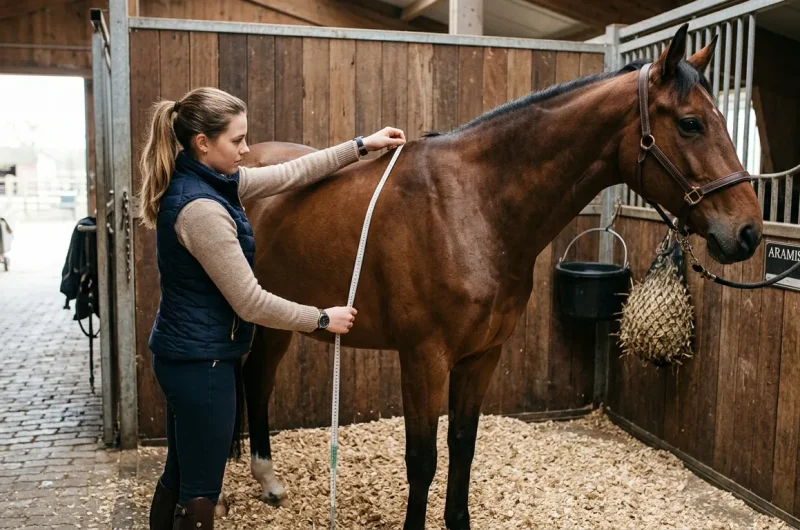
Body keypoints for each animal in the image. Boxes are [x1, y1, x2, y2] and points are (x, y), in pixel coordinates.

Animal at [237, 24, 763, 530]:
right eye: (691, 123)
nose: (749, 232)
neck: (470, 207)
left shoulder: (482, 356)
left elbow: (463, 446)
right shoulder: (423, 358)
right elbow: (422, 460)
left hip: (281, 317)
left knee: (257, 378)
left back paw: (267, 479)